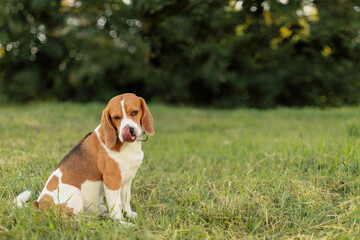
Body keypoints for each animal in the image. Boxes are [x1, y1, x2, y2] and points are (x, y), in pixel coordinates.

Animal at [15, 93, 155, 224]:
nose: (129, 130)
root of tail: (39, 203)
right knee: (74, 219)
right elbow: (116, 207)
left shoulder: (127, 180)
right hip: (75, 194)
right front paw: (122, 224)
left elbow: (125, 201)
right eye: (116, 117)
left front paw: (129, 215)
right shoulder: (112, 182)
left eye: (134, 112)